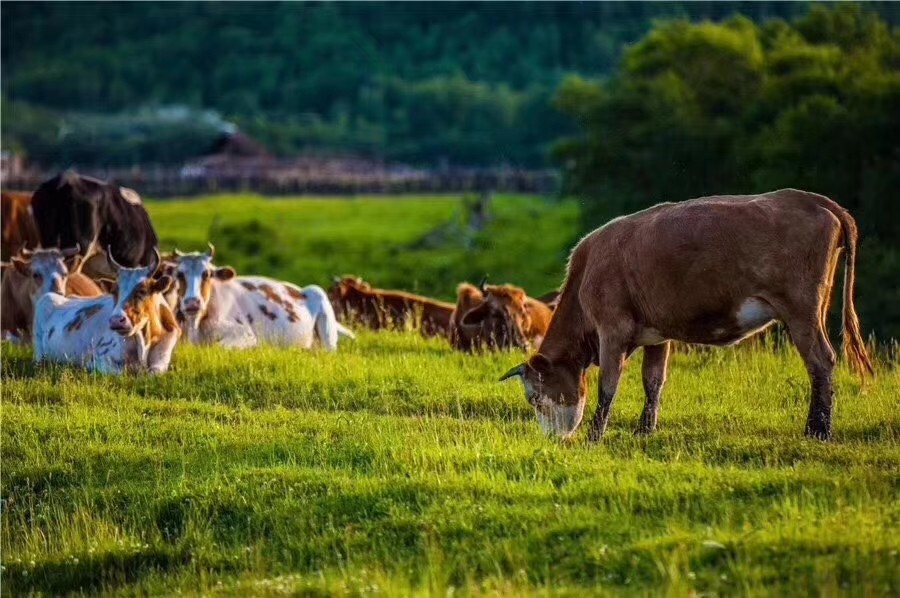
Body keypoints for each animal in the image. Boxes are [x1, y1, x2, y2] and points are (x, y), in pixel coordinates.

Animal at [32, 248, 179, 376]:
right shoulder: (99, 359)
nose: (116, 320)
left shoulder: (162, 357)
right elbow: (122, 373)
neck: (144, 340)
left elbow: (154, 373)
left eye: (142, 291)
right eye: (114, 291)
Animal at [169, 245, 352, 352]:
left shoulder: (245, 334)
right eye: (179, 274)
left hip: (325, 322)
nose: (192, 302)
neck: (196, 327)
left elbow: (219, 347)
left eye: (206, 274)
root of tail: (300, 289)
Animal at [500, 190, 872, 442]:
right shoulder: (656, 333)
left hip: (800, 310)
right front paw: (645, 430)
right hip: (814, 309)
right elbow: (653, 381)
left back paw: (818, 430)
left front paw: (595, 435)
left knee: (821, 360)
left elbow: (609, 384)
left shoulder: (612, 329)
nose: (552, 439)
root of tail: (811, 199)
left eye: (534, 397)